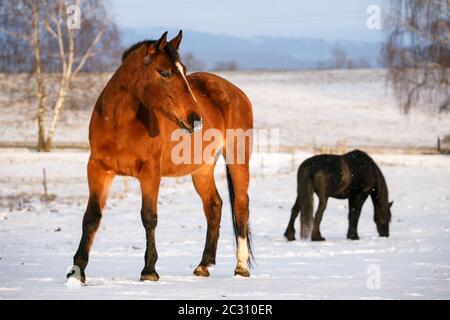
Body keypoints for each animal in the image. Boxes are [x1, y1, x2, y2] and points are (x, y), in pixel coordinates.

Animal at [68, 31, 255, 282]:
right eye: (165, 72)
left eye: (184, 70)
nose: (196, 119)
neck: (119, 125)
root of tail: (236, 92)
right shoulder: (98, 169)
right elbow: (91, 217)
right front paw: (77, 271)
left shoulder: (150, 172)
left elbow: (149, 217)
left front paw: (149, 270)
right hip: (201, 170)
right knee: (214, 206)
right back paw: (203, 265)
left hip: (238, 161)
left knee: (241, 206)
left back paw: (241, 267)